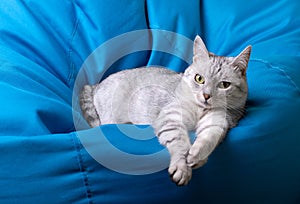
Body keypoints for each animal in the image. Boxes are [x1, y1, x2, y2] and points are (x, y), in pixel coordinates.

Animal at [79, 35, 251, 186]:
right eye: (199, 78)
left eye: (224, 85)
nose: (206, 95)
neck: (200, 111)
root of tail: (97, 85)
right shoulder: (170, 117)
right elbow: (179, 143)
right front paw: (182, 168)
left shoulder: (218, 121)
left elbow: (209, 138)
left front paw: (197, 156)